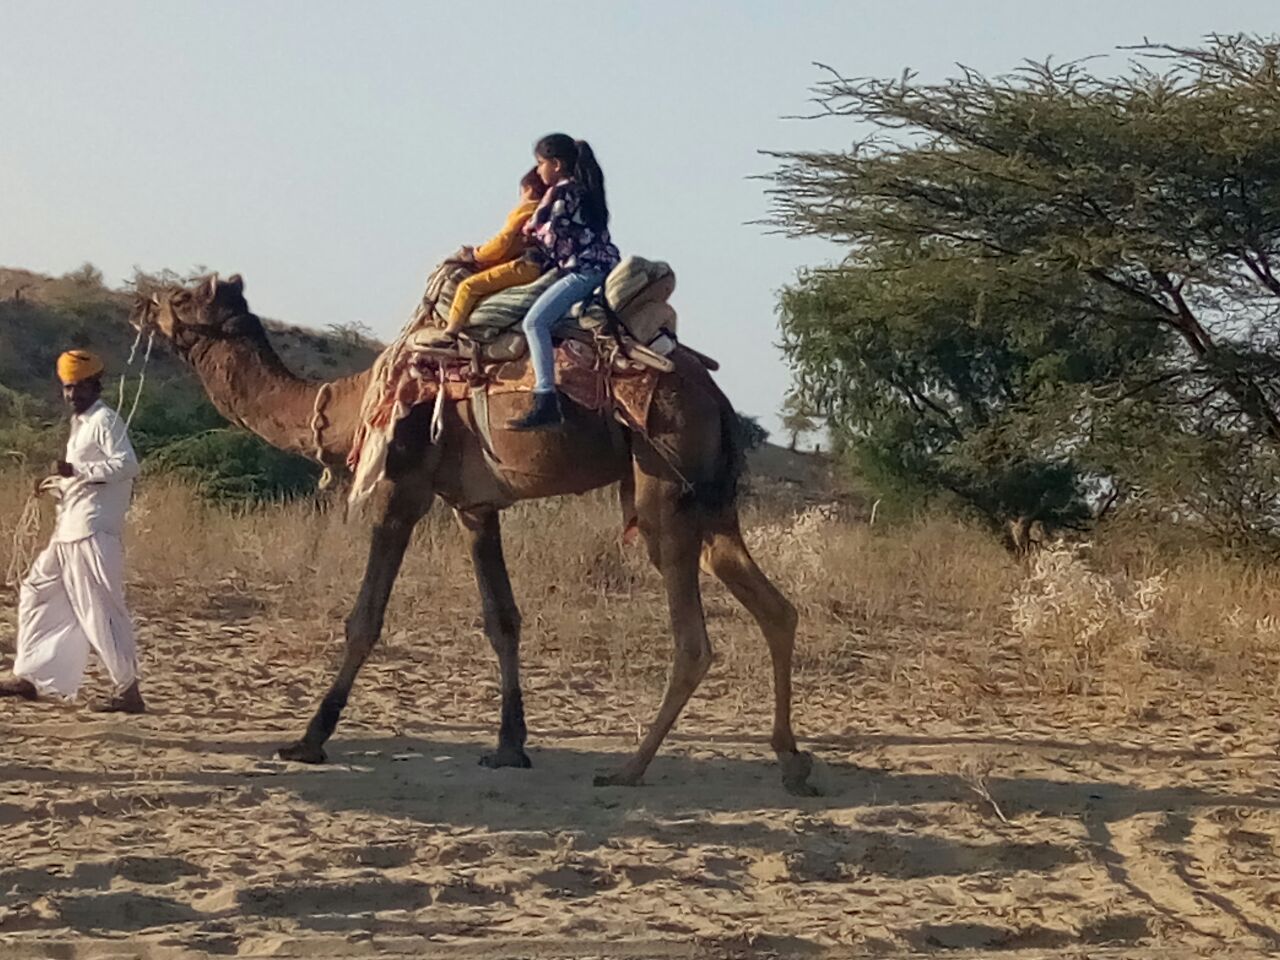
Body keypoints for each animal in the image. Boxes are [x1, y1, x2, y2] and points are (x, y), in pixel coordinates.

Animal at [135, 272, 814, 798]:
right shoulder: (475, 506)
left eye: (182, 297)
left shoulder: (402, 487)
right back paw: (791, 762)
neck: (353, 407)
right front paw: (509, 746)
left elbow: (365, 619)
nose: (141, 302)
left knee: (694, 638)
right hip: (714, 501)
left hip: (663, 486)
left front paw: (308, 739)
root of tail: (718, 399)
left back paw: (630, 768)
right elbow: (502, 618)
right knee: (775, 607)